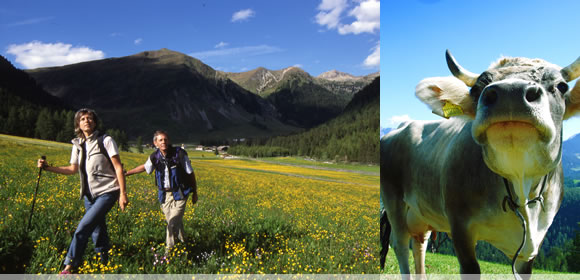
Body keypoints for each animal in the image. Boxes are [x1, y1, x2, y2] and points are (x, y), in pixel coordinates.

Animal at [380, 50, 580, 278]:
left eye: (561, 86)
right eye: (476, 89)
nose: (511, 92)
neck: (519, 182)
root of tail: (404, 124)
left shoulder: (534, 243)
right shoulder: (460, 225)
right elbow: (471, 268)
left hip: (421, 212)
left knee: (419, 243)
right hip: (393, 201)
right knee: (401, 244)